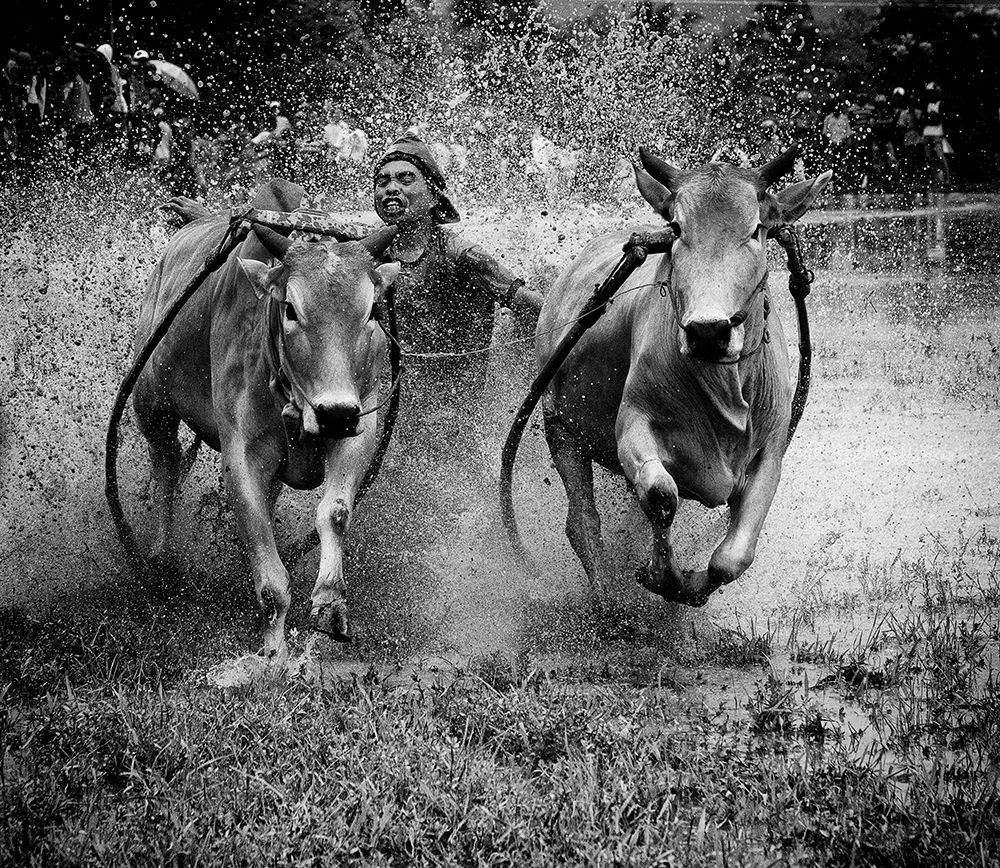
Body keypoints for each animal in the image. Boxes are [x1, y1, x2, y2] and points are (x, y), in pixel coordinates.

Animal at [132, 181, 399, 664]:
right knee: (165, 467)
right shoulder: (241, 458)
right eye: (290, 308)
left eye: (371, 311)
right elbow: (271, 581)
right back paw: (161, 561)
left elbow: (334, 513)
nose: (334, 413)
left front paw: (330, 603)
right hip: (152, 405)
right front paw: (273, 656)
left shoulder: (357, 430)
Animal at [535, 147, 831, 609]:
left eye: (757, 230)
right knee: (582, 522)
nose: (708, 331)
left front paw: (692, 587)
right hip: (560, 428)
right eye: (676, 228)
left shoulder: (770, 453)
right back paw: (608, 604)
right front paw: (661, 577)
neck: (721, 387)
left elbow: (732, 559)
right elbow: (660, 493)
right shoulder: (633, 426)